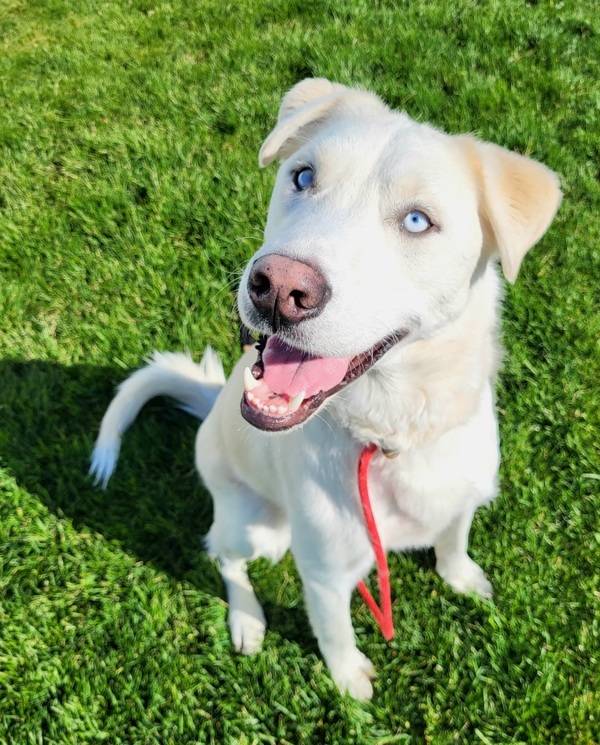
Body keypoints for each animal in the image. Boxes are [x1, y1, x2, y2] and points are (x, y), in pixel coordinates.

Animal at [90, 80, 564, 696]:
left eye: (418, 221)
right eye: (302, 177)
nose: (276, 287)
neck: (391, 433)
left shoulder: (461, 497)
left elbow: (453, 540)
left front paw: (462, 577)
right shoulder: (324, 573)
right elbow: (335, 633)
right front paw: (350, 684)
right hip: (253, 526)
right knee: (223, 557)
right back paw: (247, 619)